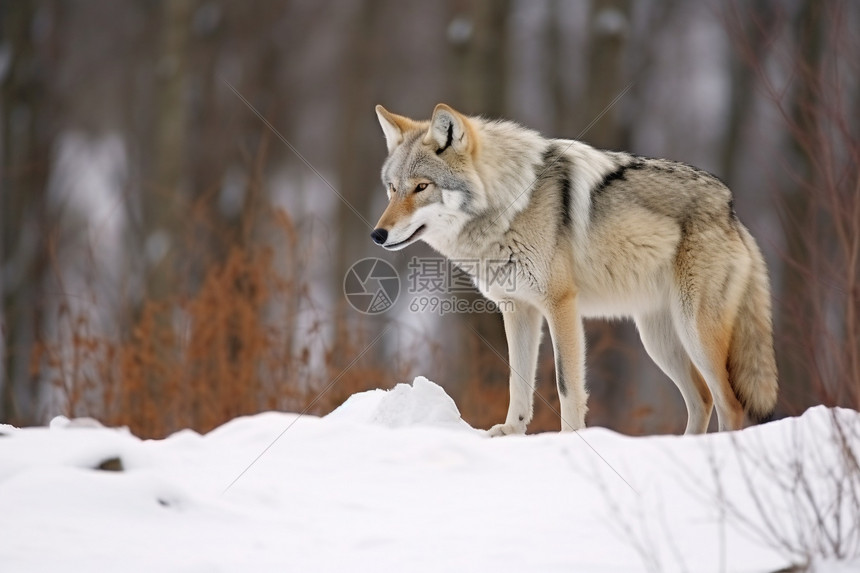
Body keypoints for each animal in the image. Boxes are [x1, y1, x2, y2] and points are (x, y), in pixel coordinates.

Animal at [370, 103, 780, 434]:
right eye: (391, 188)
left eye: (422, 187)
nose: (377, 234)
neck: (509, 205)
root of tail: (731, 208)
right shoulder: (518, 310)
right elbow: (518, 381)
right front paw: (510, 433)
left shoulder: (560, 305)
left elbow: (567, 385)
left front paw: (569, 441)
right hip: (658, 340)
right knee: (702, 400)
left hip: (695, 333)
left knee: (731, 404)